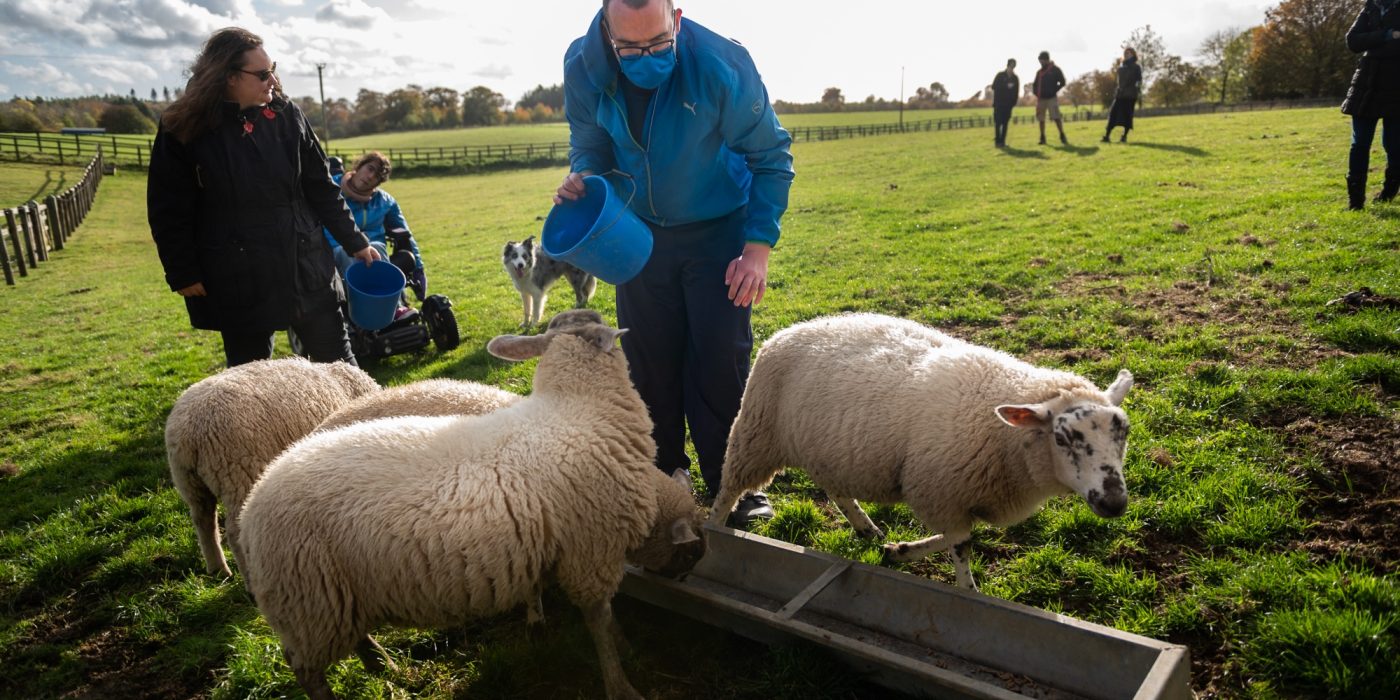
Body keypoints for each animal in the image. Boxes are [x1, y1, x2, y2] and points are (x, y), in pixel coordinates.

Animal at [164, 357, 379, 577]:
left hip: (190, 484)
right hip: (239, 475)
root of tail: (189, 434)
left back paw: (218, 569)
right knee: (235, 530)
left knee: (203, 521)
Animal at [237, 310, 707, 700]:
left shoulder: (544, 546)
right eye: (692, 549)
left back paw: (383, 665)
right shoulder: (591, 553)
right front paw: (621, 678)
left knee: (353, 638)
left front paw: (540, 623)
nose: (691, 569)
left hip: (331, 600)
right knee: (305, 669)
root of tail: (249, 510)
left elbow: (545, 595)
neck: (579, 407)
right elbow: (600, 621)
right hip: (307, 600)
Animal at [708, 313, 1134, 590]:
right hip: (755, 433)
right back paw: (714, 529)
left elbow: (957, 537)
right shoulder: (940, 492)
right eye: (1062, 438)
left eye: (1124, 432)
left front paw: (896, 550)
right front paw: (960, 586)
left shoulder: (956, 495)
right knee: (729, 487)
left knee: (837, 490)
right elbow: (961, 542)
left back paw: (866, 527)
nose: (1114, 502)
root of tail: (790, 329)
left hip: (830, 448)